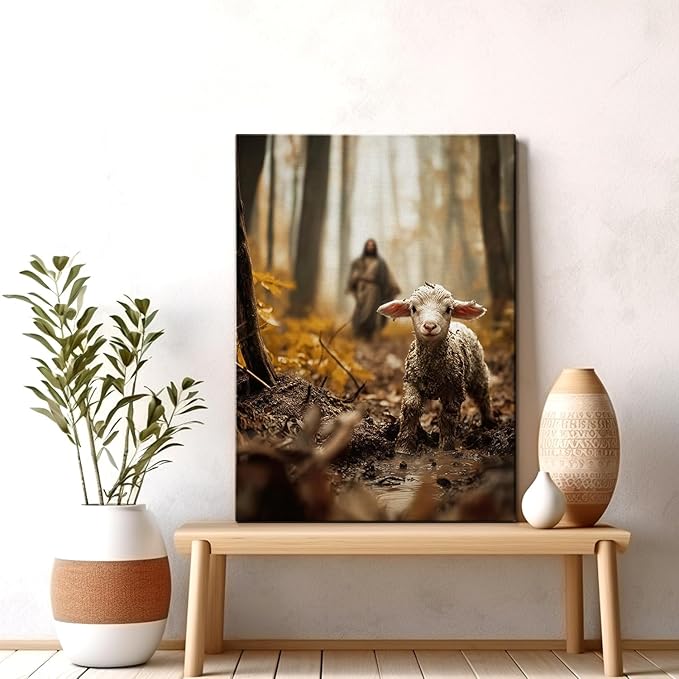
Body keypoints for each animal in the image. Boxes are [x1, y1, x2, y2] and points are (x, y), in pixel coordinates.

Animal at [377, 282, 494, 454]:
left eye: (449, 309)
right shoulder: (412, 381)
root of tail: (459, 324)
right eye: (413, 308)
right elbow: (411, 406)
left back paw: (489, 423)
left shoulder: (454, 387)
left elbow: (448, 415)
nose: (430, 326)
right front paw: (403, 448)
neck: (432, 368)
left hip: (478, 372)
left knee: (483, 396)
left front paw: (446, 448)